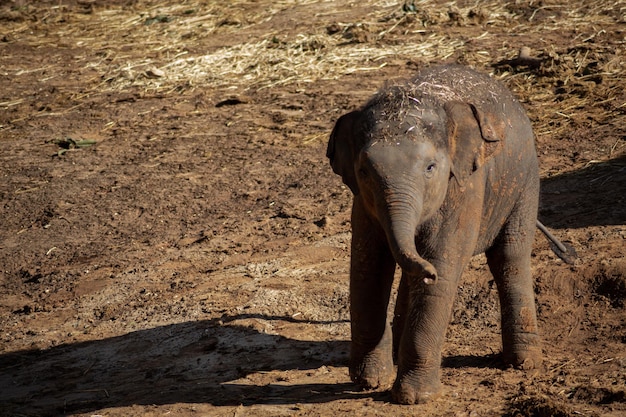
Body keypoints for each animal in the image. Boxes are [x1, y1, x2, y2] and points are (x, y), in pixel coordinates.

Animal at [326, 65, 540, 404]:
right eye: (363, 171)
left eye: (430, 167)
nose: (428, 273)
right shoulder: (362, 202)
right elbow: (368, 266)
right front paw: (368, 381)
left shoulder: (464, 188)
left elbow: (443, 263)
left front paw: (414, 398)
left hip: (525, 182)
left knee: (509, 256)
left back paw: (523, 363)